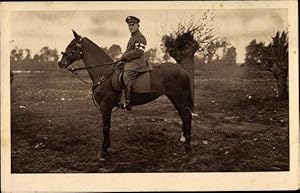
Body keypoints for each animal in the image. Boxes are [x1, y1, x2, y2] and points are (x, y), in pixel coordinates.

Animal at [58, 30, 195, 160]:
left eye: (71, 45)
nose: (60, 63)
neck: (104, 74)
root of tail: (182, 70)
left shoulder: (105, 105)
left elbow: (106, 127)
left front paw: (103, 151)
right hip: (175, 99)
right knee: (184, 116)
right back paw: (183, 140)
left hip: (178, 98)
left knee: (186, 116)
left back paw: (188, 144)